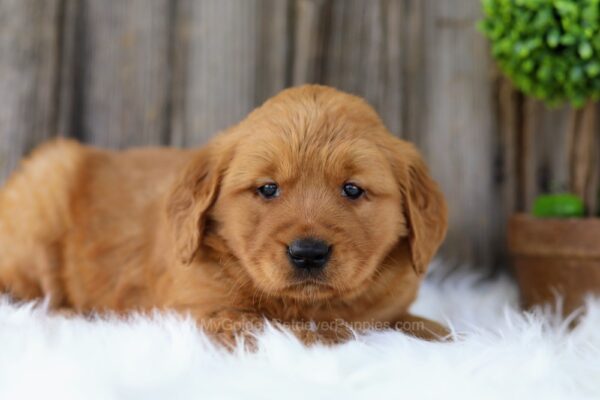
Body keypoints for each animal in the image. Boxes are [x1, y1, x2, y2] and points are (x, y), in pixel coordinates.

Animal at [0, 85, 446, 346]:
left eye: (352, 190)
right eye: (268, 189)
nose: (308, 253)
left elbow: (401, 321)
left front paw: (439, 332)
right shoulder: (202, 310)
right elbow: (291, 329)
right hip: (44, 189)